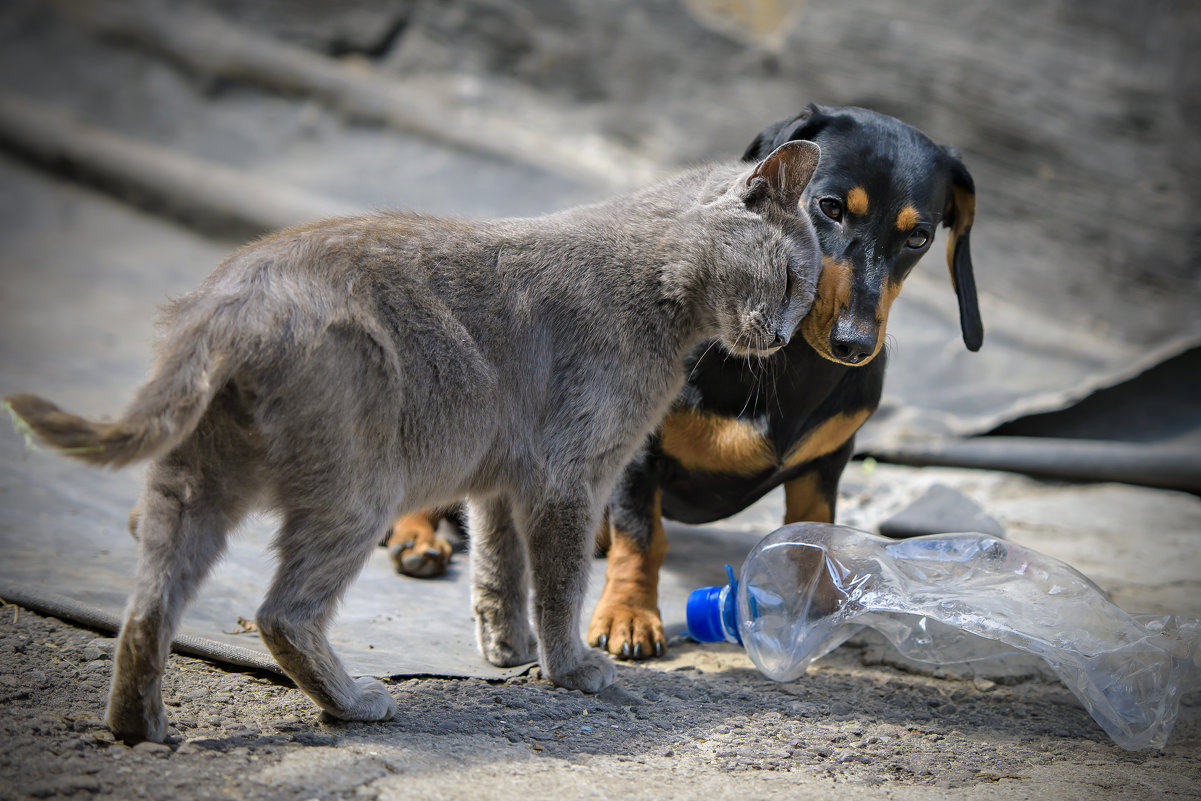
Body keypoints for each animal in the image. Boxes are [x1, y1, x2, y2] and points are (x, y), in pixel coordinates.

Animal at [4, 139, 821, 744]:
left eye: (806, 297)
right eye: (789, 281)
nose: (787, 338)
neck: (654, 288)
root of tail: (231, 300)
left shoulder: (503, 477)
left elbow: (497, 566)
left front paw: (507, 648)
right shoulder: (570, 475)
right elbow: (561, 584)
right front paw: (570, 667)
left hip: (191, 484)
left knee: (148, 608)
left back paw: (138, 727)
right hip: (360, 489)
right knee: (281, 613)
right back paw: (355, 702)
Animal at [389, 103, 980, 662]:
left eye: (919, 237)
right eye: (830, 207)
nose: (854, 345)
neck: (781, 366)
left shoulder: (827, 463)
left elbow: (811, 531)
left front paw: (820, 604)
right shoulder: (636, 452)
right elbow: (642, 538)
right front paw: (628, 615)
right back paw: (415, 537)